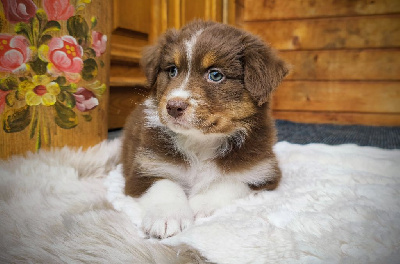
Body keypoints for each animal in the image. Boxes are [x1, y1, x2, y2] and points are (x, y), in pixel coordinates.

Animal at [121, 20, 288, 239]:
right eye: (172, 70)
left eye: (215, 75)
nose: (173, 106)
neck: (200, 142)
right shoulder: (144, 168)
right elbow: (165, 184)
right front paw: (167, 217)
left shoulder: (263, 172)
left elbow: (229, 183)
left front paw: (197, 205)